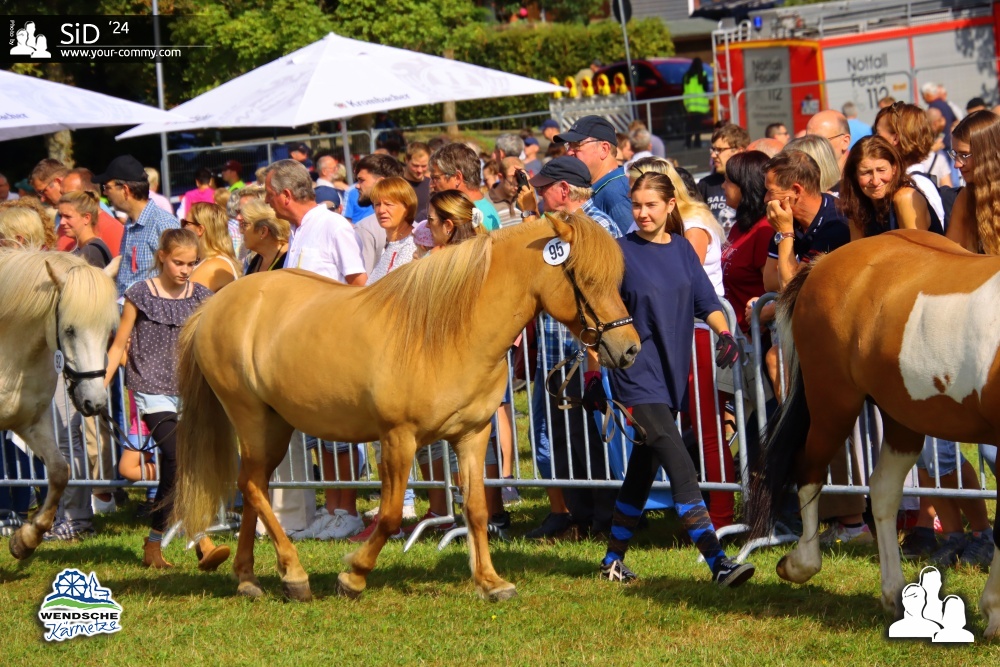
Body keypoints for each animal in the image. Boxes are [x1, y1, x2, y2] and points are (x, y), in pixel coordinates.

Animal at [0, 249, 119, 558]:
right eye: (70, 330)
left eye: (109, 330)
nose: (95, 402)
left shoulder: (31, 422)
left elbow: (59, 471)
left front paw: (26, 539)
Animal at [173, 211, 641, 602]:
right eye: (585, 278)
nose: (629, 348)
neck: (451, 332)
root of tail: (215, 305)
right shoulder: (399, 439)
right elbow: (391, 515)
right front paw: (353, 576)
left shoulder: (473, 435)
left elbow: (475, 509)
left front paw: (490, 582)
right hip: (253, 420)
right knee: (252, 486)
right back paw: (293, 575)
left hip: (277, 424)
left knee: (253, 488)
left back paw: (249, 578)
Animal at [748, 230, 1000, 639]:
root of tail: (825, 261)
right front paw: (994, 612)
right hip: (833, 402)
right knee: (810, 472)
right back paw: (801, 563)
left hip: (904, 417)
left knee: (882, 490)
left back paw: (895, 594)